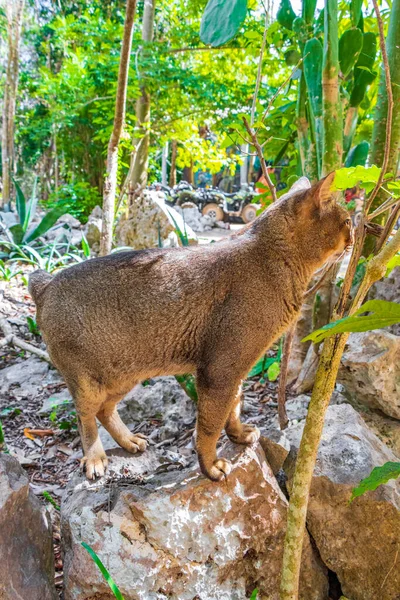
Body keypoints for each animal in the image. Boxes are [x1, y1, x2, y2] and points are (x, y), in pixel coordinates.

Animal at [28, 173, 354, 482]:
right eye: (348, 221)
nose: (354, 237)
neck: (272, 259)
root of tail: (46, 284)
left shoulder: (236, 367)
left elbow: (234, 406)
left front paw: (238, 435)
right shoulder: (219, 370)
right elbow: (209, 426)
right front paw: (210, 466)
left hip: (123, 374)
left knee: (104, 410)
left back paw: (129, 440)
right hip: (87, 381)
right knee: (84, 416)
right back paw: (95, 457)